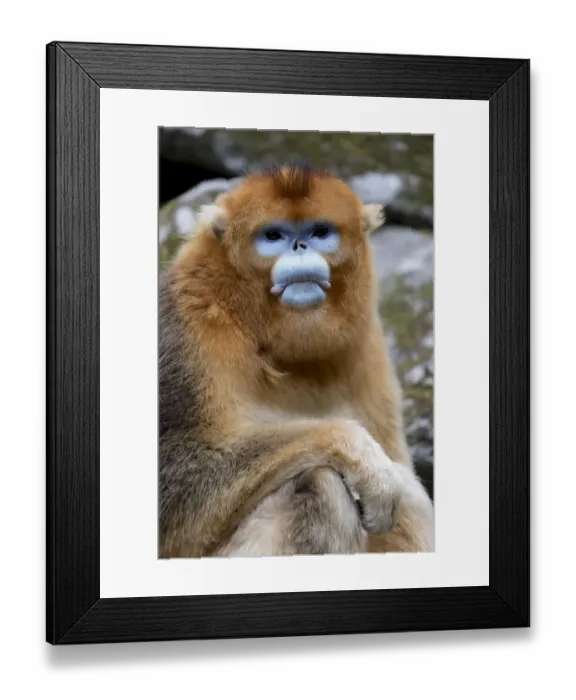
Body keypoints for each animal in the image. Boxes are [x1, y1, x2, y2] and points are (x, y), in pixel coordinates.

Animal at [158, 164, 434, 558]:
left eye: (320, 232)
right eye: (273, 236)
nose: (300, 246)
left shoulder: (368, 345)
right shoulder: (188, 324)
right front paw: (358, 452)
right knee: (322, 485)